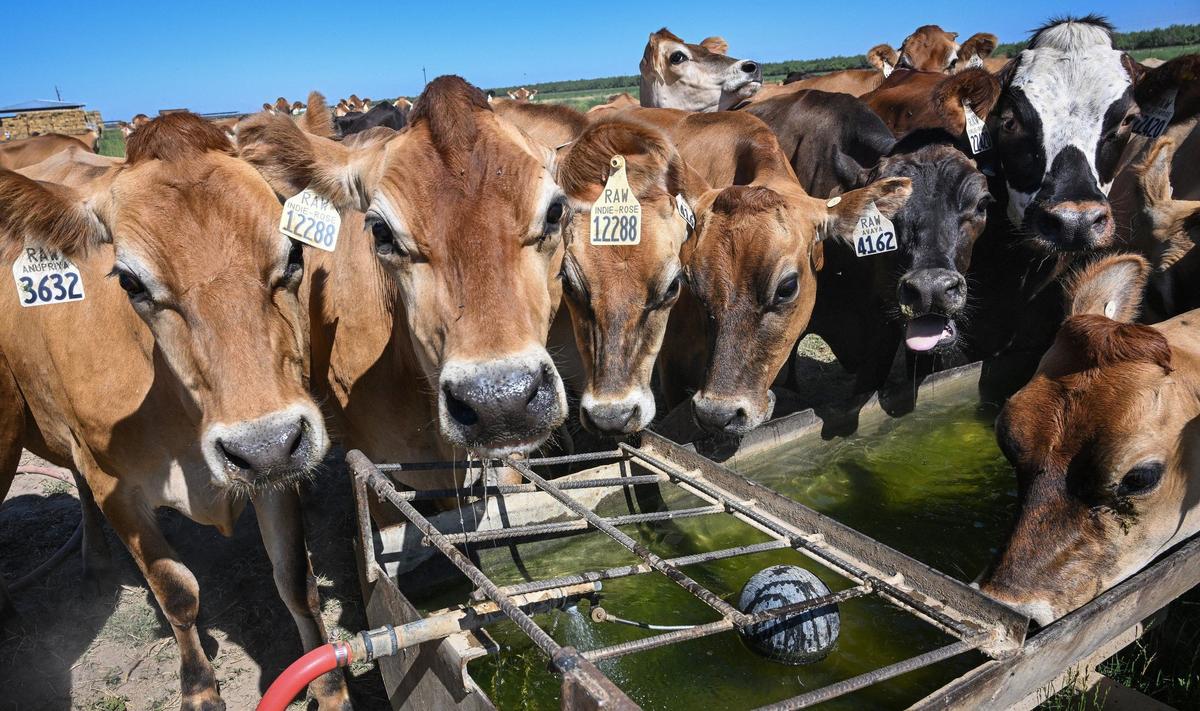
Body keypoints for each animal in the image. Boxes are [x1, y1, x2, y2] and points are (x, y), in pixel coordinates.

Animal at [0, 113, 349, 710]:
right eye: (130, 281)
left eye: (295, 255)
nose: (262, 445)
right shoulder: (113, 485)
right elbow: (176, 592)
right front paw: (200, 688)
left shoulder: (278, 459)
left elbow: (295, 580)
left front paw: (326, 684)